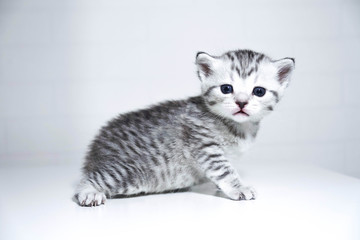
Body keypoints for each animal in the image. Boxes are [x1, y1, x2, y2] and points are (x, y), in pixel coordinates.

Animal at [74, 48, 294, 206]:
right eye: (226, 89)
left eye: (259, 91)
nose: (241, 102)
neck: (240, 127)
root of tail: (97, 145)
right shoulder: (204, 144)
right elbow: (224, 170)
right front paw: (238, 187)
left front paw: (221, 187)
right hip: (131, 171)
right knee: (90, 179)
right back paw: (89, 193)